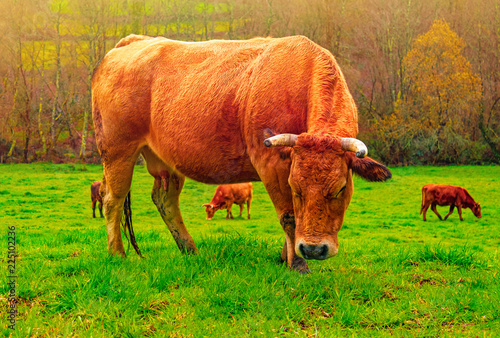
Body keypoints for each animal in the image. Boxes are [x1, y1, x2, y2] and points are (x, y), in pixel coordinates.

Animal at [92, 33, 392, 272]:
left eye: (341, 188)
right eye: (296, 188)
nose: (314, 249)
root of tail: (133, 41)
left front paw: (286, 257)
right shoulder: (271, 164)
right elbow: (289, 216)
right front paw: (297, 264)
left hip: (165, 161)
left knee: (165, 200)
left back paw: (190, 250)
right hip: (118, 151)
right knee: (112, 199)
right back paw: (117, 253)